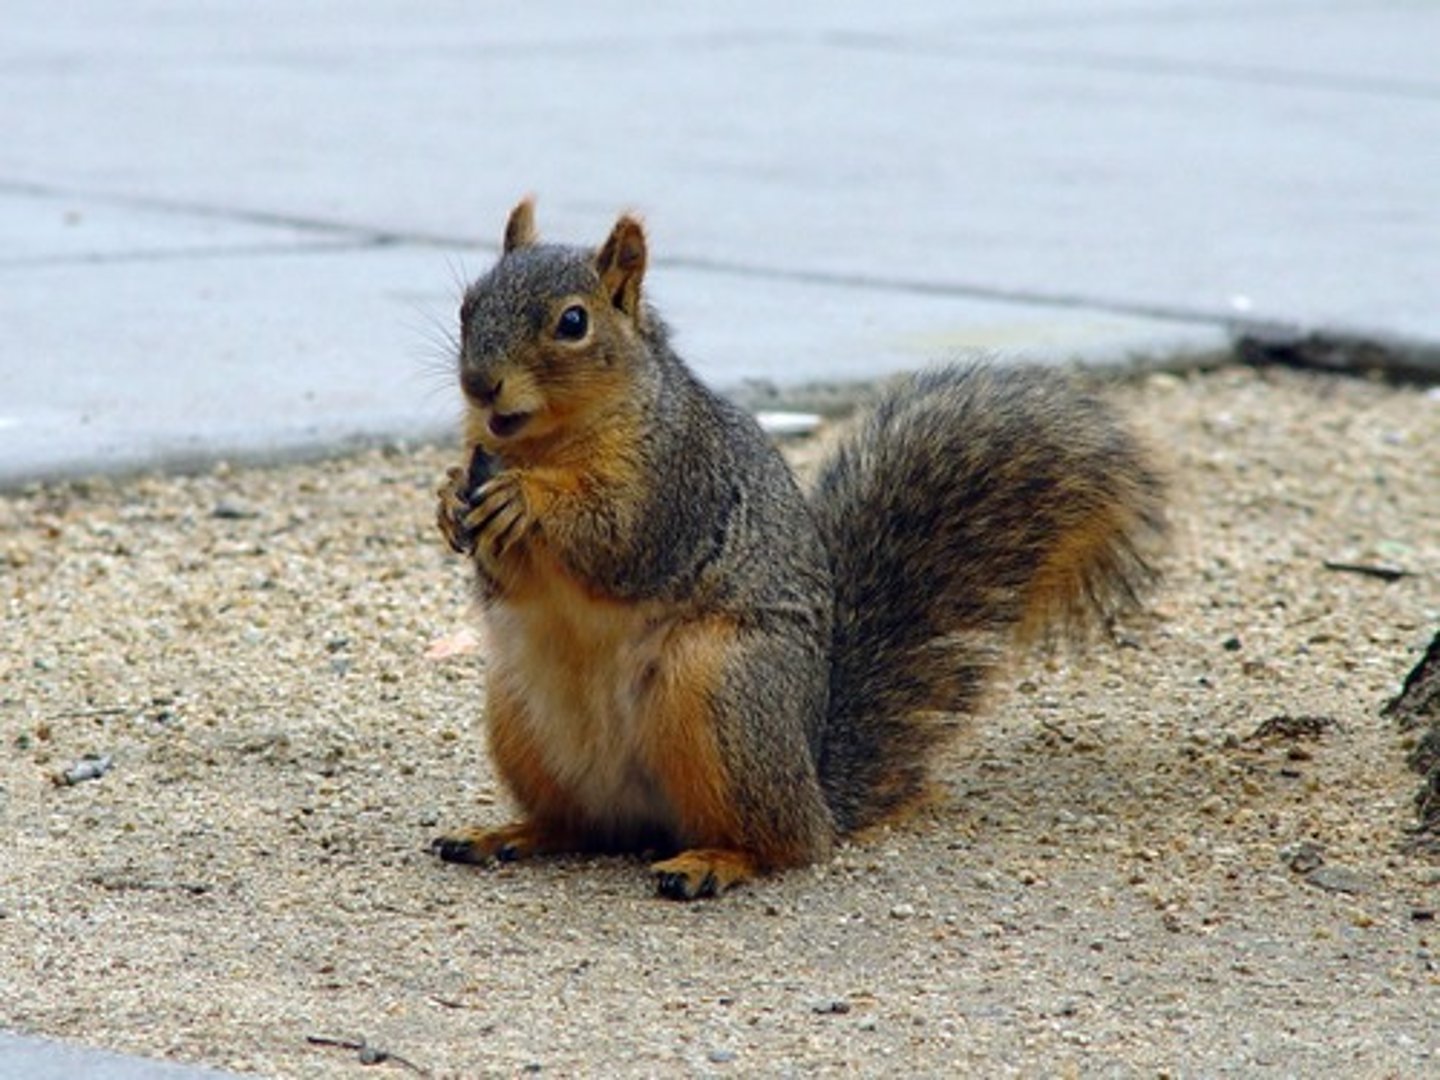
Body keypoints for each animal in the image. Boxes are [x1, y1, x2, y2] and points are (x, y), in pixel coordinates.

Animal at [431, 199, 1166, 900]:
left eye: (573, 322)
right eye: (468, 303)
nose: (479, 384)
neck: (544, 443)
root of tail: (817, 793)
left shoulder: (678, 483)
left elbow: (620, 538)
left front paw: (527, 498)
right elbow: (507, 577)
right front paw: (447, 498)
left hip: (725, 693)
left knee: (782, 845)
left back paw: (714, 860)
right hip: (520, 717)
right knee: (582, 829)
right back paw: (509, 833)